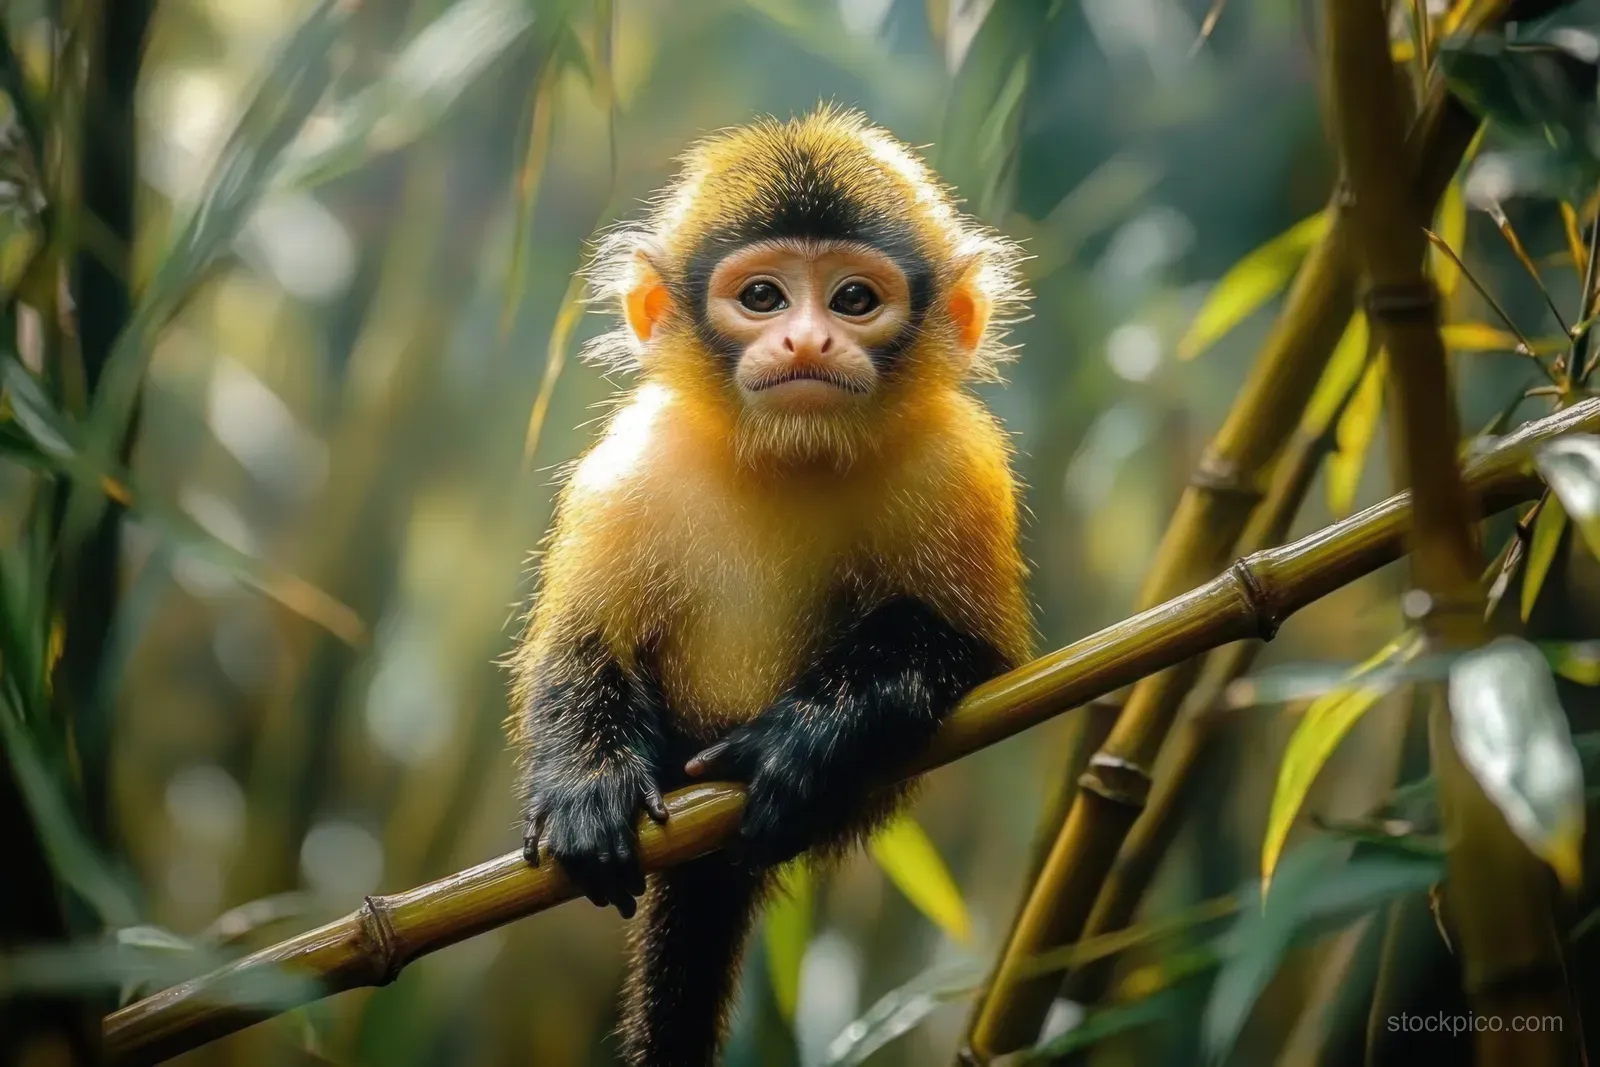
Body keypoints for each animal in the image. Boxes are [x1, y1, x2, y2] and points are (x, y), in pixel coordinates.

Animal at [510, 105, 1034, 1067]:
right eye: (763, 298)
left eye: (853, 301)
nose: (807, 340)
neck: (794, 457)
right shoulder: (632, 465)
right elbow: (579, 646)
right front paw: (586, 789)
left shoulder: (960, 468)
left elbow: (971, 655)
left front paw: (811, 738)